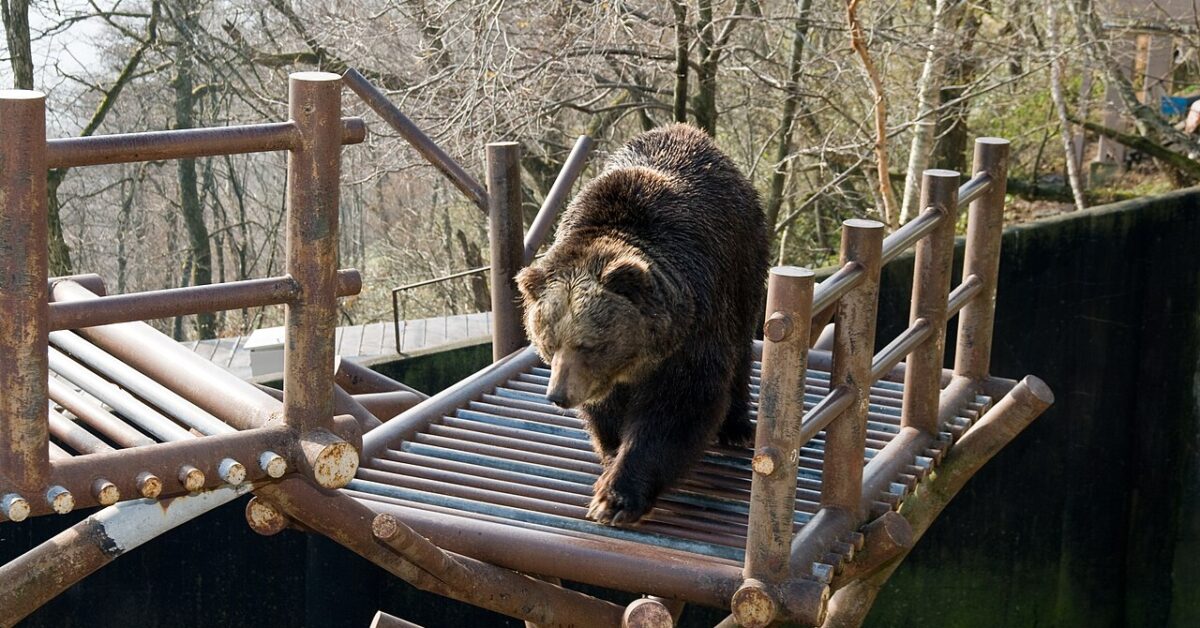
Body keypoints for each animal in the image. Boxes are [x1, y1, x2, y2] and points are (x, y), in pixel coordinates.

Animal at [515, 123, 769, 527]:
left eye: (588, 344)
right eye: (548, 344)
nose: (558, 396)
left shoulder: (693, 330)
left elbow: (677, 408)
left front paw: (615, 499)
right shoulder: (603, 379)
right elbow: (607, 414)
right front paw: (610, 457)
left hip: (744, 262)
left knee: (741, 346)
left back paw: (737, 427)